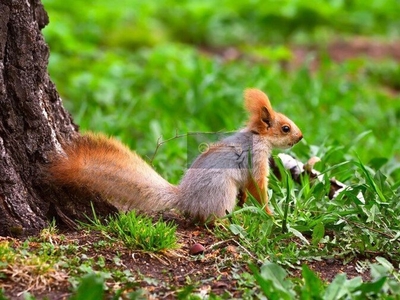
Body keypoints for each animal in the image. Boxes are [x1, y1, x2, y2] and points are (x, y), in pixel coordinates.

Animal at [48, 88, 302, 221]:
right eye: (285, 128)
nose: (300, 137)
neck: (258, 137)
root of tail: (185, 198)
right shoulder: (256, 158)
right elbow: (259, 185)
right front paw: (269, 213)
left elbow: (249, 187)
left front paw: (246, 201)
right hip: (221, 190)